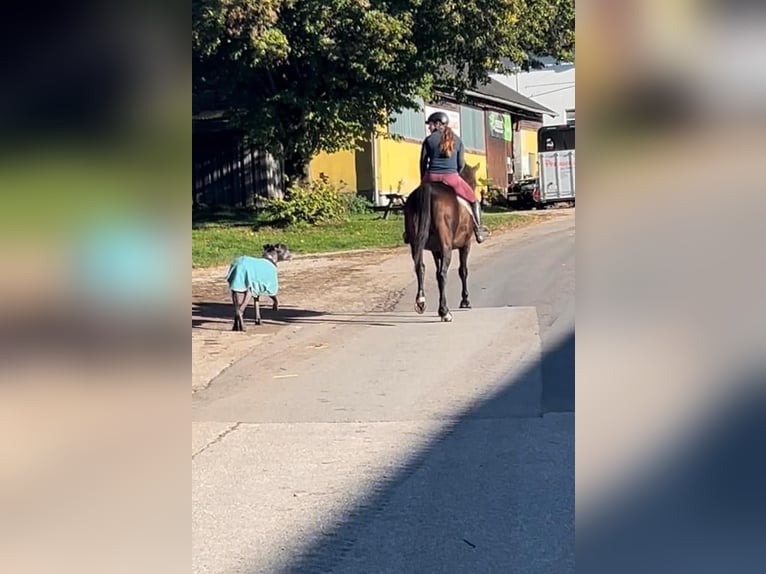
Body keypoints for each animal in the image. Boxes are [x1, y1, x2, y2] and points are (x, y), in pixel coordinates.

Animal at [402, 163, 480, 324]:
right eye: (474, 183)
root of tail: (428, 190)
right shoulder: (465, 245)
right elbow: (463, 271)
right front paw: (465, 301)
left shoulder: (435, 250)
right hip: (447, 246)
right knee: (443, 273)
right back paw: (445, 312)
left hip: (416, 243)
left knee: (420, 267)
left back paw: (421, 302)